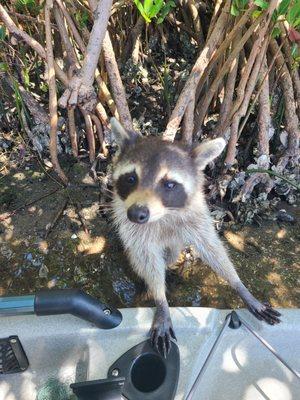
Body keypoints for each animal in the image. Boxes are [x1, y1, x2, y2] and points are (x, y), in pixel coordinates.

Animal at [110, 118, 282, 356]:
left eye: (169, 184)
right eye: (131, 178)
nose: (137, 213)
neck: (165, 213)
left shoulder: (196, 216)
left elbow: (212, 249)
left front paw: (239, 286)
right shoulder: (133, 228)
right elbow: (146, 257)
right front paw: (161, 300)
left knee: (173, 252)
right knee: (139, 257)